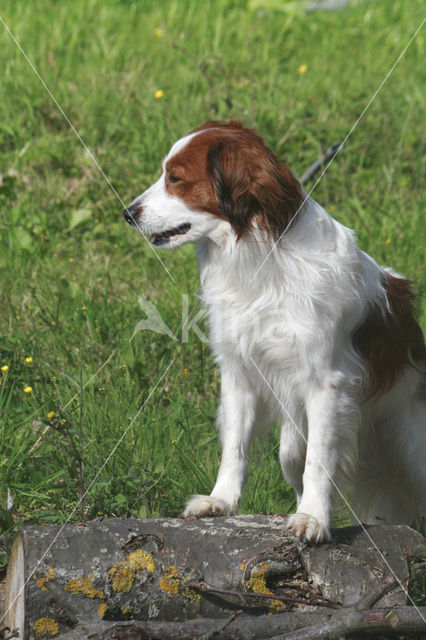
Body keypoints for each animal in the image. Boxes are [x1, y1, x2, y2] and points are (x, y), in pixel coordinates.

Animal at [124, 120, 426, 540]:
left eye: (176, 179)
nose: (127, 213)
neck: (260, 255)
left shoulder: (327, 383)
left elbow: (319, 459)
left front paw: (314, 519)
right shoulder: (239, 375)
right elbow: (235, 448)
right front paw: (221, 501)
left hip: (413, 442)